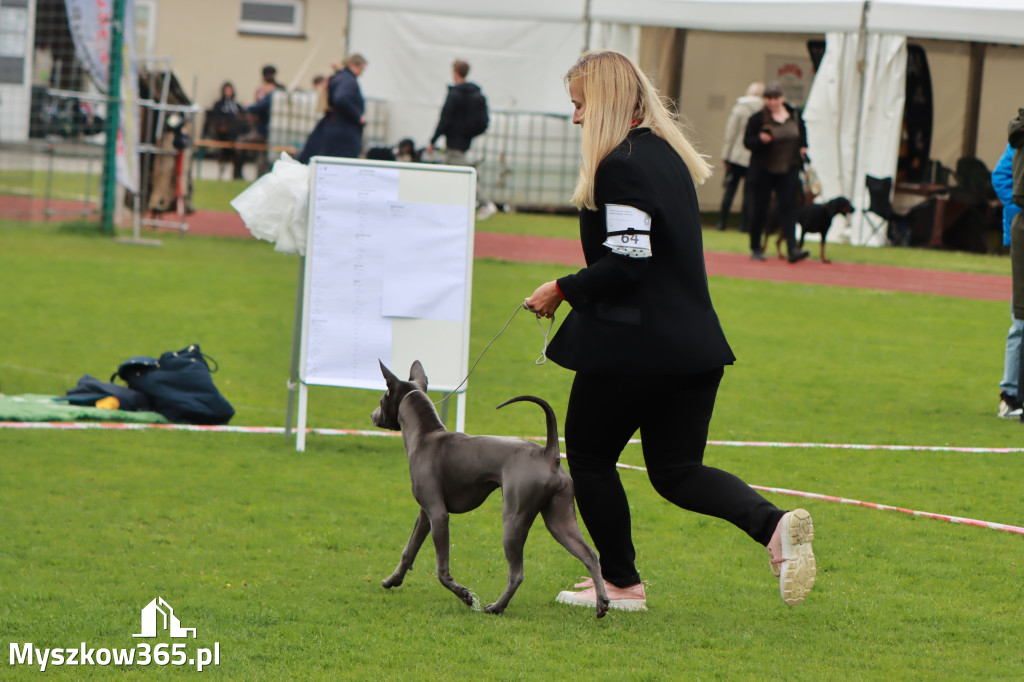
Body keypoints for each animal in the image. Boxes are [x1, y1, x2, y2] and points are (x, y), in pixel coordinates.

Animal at [370, 360, 602, 614]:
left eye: (381, 399)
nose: (372, 415)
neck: (426, 436)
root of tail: (548, 453)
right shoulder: (425, 515)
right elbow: (408, 550)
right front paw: (393, 580)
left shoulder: (439, 515)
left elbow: (442, 570)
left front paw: (464, 595)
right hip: (559, 521)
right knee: (590, 555)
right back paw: (602, 603)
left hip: (513, 520)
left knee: (517, 574)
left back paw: (496, 608)